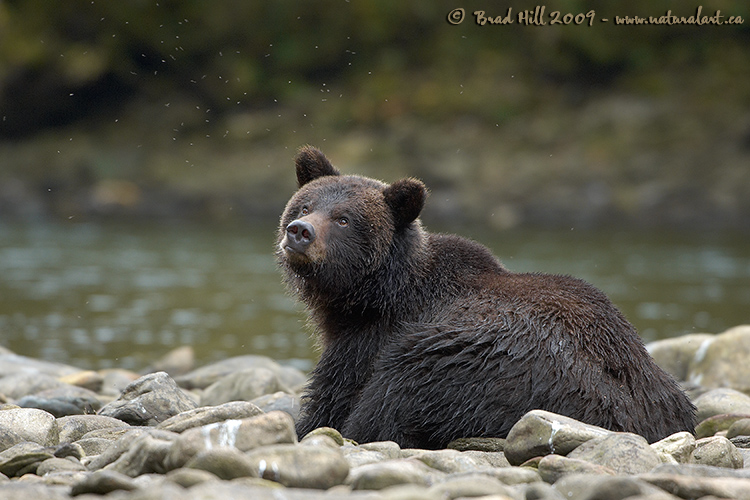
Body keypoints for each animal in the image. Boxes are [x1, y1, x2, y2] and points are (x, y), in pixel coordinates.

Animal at [280, 146, 696, 450]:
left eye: (344, 219)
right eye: (305, 205)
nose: (299, 231)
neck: (369, 295)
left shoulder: (372, 338)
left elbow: (333, 400)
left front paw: (310, 425)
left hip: (482, 361)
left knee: (392, 392)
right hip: (654, 388)